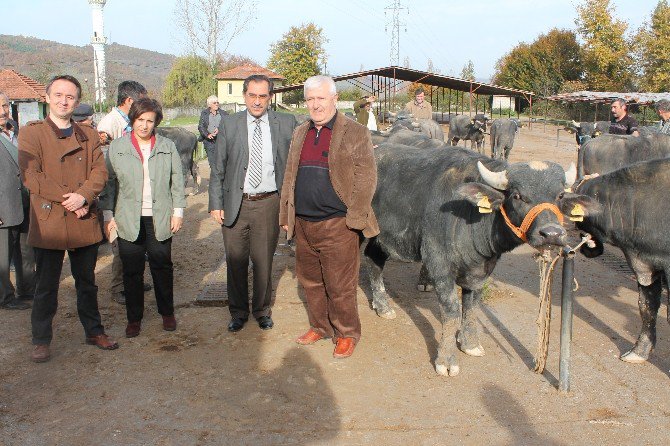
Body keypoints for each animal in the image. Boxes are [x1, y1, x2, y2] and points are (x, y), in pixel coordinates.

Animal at [368, 145, 600, 376]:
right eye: (517, 195)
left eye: (559, 195)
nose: (551, 233)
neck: (468, 214)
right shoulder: (439, 264)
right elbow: (451, 311)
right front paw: (446, 360)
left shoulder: (480, 271)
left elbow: (471, 306)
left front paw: (469, 343)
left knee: (374, 261)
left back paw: (382, 306)